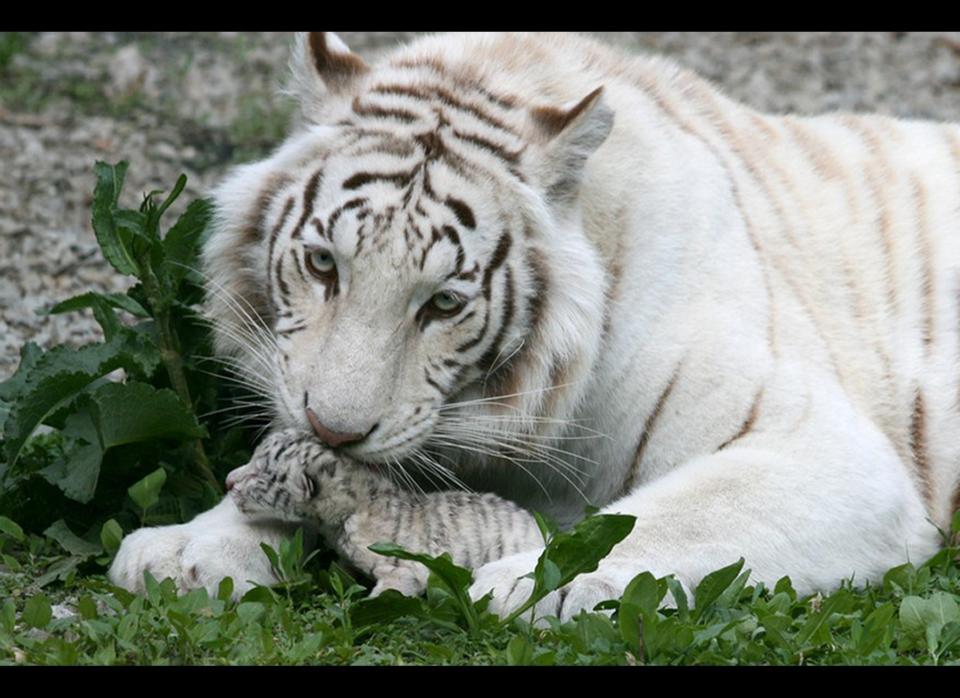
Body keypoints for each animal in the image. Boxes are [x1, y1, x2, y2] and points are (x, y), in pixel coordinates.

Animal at [109, 32, 960, 620]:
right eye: (323, 265)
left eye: (443, 304)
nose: (337, 428)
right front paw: (187, 550)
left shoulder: (822, 452)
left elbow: (659, 518)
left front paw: (517, 581)